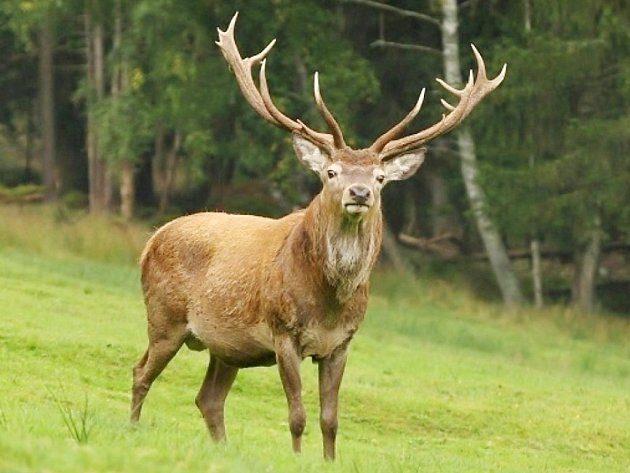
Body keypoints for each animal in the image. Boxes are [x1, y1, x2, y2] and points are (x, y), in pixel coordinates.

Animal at [132, 11, 508, 460]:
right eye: (331, 172)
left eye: (380, 178)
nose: (359, 193)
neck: (329, 301)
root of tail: (151, 240)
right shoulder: (283, 334)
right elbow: (297, 415)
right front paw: (296, 460)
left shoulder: (342, 344)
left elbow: (331, 419)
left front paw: (329, 461)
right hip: (165, 316)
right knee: (140, 372)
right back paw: (131, 428)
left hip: (227, 347)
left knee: (208, 399)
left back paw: (221, 450)